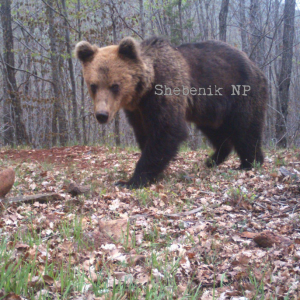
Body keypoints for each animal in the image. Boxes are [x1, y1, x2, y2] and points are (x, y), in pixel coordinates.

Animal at [75, 37, 268, 188]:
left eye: (115, 86)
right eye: (93, 85)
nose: (102, 115)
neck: (143, 90)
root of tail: (256, 66)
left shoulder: (165, 91)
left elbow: (167, 131)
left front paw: (132, 180)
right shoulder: (137, 111)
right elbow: (144, 134)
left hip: (241, 93)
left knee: (246, 129)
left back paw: (249, 162)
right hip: (209, 109)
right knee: (215, 130)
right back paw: (213, 159)